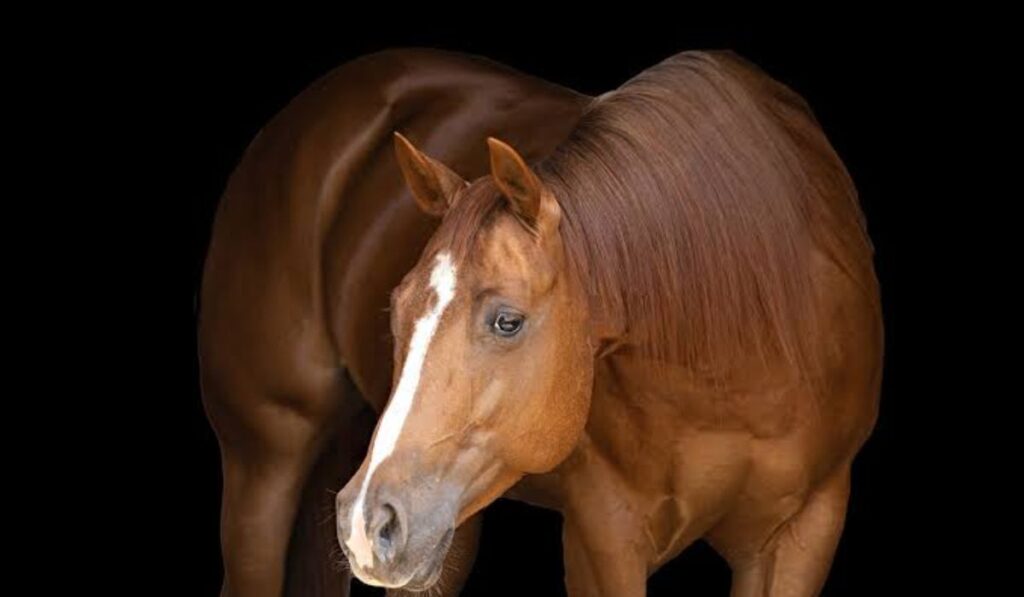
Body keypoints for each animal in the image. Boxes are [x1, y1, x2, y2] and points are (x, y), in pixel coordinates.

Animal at [202, 49, 882, 597]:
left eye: (508, 321)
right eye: (396, 312)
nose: (367, 522)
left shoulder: (804, 532)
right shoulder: (604, 537)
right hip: (265, 467)